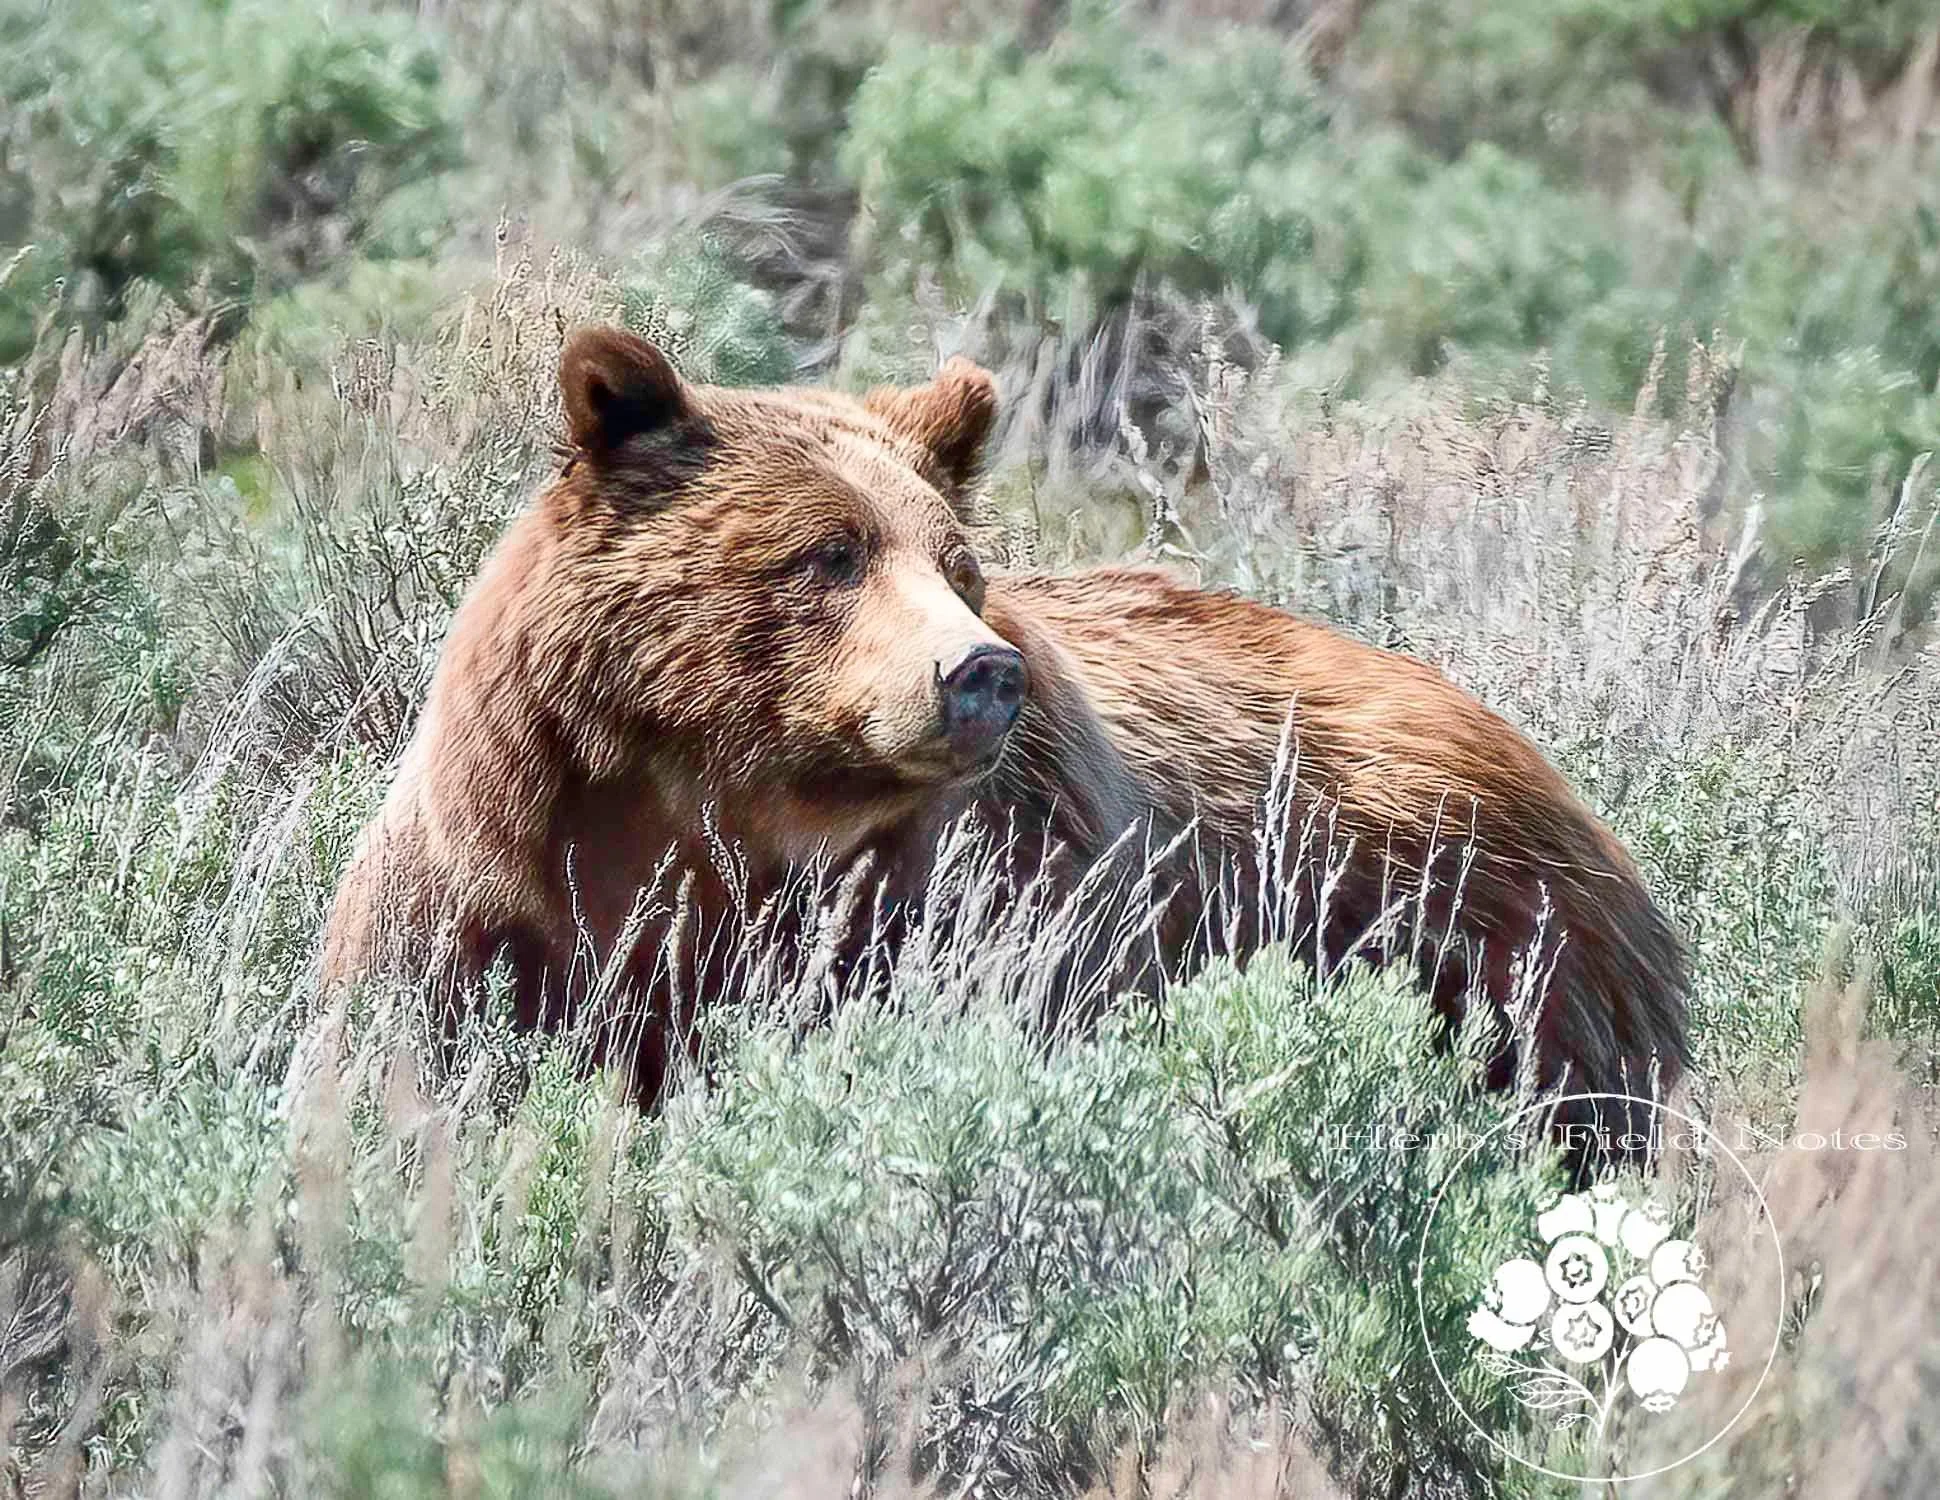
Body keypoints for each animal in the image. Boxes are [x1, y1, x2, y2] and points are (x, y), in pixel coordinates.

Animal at [323, 324, 1689, 1127]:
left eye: (955, 560)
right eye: (829, 552)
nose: (978, 673)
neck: (697, 821)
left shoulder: (976, 895)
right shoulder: (480, 899)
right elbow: (394, 1060)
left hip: (1501, 944)